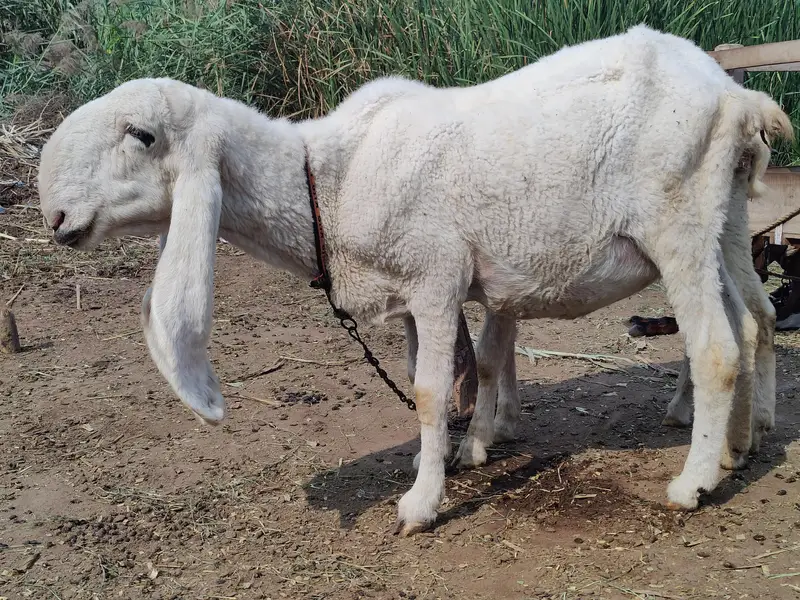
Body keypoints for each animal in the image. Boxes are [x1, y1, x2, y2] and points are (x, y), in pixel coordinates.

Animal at [37, 24, 794, 536]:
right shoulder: (417, 294)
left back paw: (693, 482)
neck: (327, 182)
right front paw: (468, 450)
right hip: (724, 218)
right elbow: (469, 367)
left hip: (677, 223)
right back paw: (742, 443)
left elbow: (432, 392)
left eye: (142, 135)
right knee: (755, 318)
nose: (56, 218)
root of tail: (734, 94)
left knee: (716, 348)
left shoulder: (435, 277)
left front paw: (421, 503)